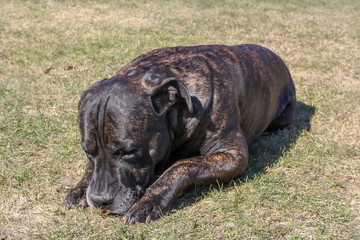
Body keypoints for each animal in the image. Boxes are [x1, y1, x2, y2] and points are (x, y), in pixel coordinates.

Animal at [64, 44, 296, 224]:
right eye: (88, 152)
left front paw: (149, 202)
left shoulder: (233, 155)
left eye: (129, 151)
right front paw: (80, 188)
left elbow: (181, 166)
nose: (99, 200)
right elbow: (91, 169)